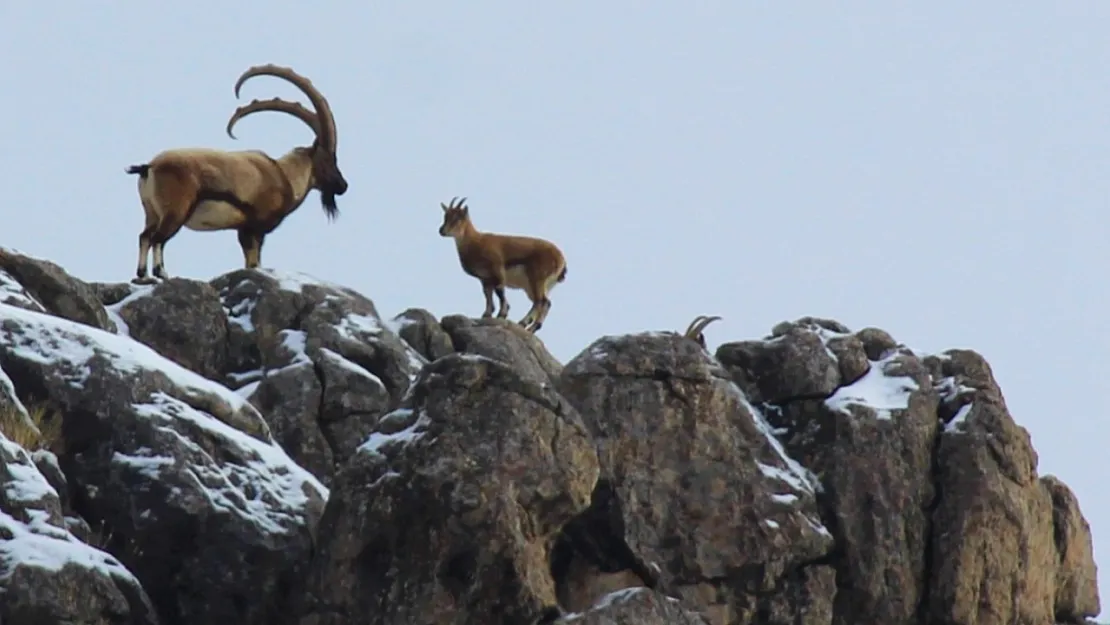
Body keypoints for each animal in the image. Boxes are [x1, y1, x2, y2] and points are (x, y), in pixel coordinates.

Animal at [122, 62, 348, 284]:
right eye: (330, 159)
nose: (343, 186)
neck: (285, 175)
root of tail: (149, 167)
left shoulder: (243, 229)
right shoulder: (255, 228)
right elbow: (254, 261)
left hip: (151, 212)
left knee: (144, 236)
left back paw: (142, 274)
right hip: (175, 211)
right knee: (158, 238)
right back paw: (161, 272)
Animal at [437, 196, 568, 335]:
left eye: (458, 218)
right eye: (445, 216)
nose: (442, 231)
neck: (475, 242)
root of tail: (561, 259)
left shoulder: (497, 269)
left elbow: (500, 290)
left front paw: (502, 314)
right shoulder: (485, 278)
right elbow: (487, 294)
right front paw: (486, 314)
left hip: (537, 278)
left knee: (543, 301)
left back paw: (527, 325)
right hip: (537, 286)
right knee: (542, 303)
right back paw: (528, 325)